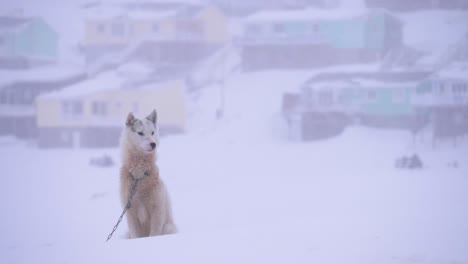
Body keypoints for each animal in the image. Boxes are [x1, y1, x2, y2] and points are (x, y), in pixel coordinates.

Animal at [119, 109, 178, 237]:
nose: (153, 144)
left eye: (152, 132)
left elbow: (154, 232)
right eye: (140, 133)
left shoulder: (157, 208)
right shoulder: (130, 210)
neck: (139, 176)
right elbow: (135, 234)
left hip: (168, 227)